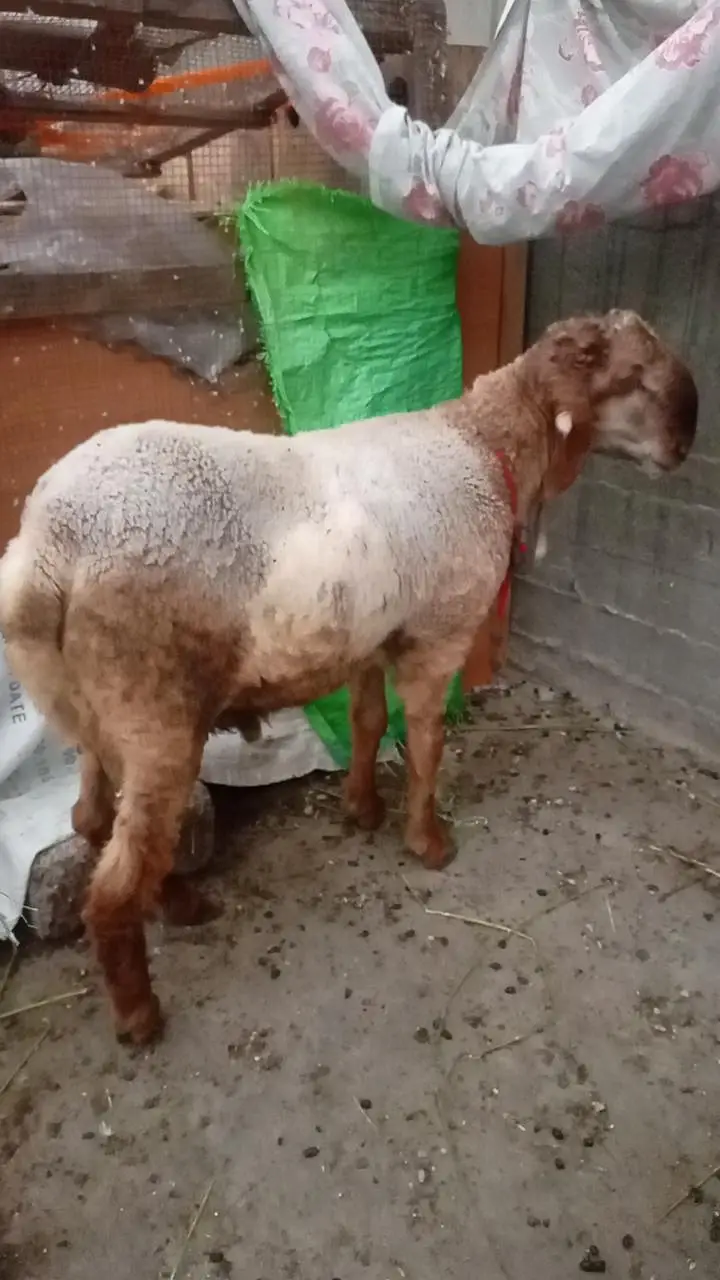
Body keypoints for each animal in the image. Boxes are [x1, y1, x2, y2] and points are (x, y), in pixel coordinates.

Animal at [0, 310, 697, 1043]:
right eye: (631, 377)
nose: (684, 443)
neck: (482, 446)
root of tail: (46, 552)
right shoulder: (439, 635)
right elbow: (425, 742)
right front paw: (428, 842)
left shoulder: (369, 638)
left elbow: (368, 722)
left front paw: (362, 809)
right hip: (152, 704)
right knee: (113, 885)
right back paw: (141, 1008)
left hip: (87, 706)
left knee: (91, 820)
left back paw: (179, 903)